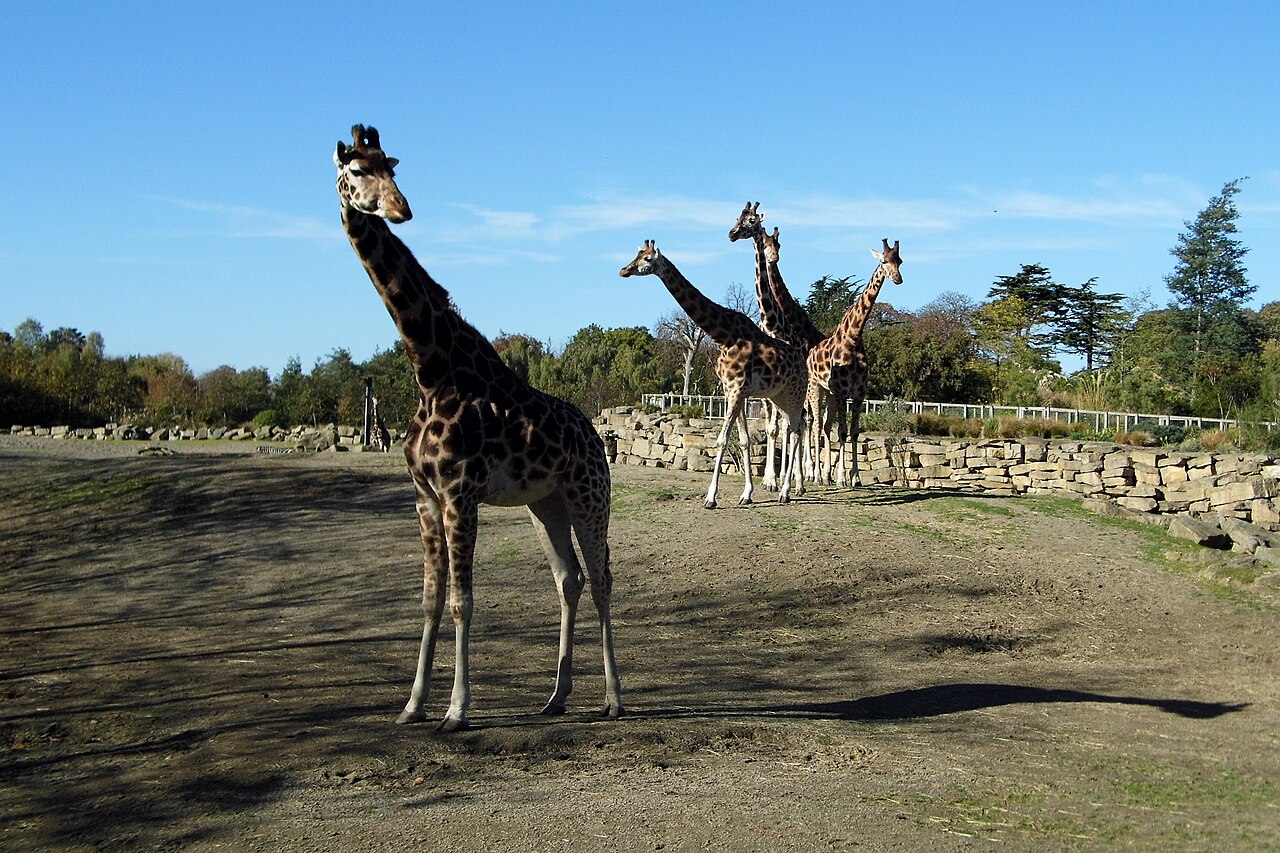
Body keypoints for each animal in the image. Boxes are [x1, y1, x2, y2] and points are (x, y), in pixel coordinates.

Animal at [334, 125, 621, 731]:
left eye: (392, 167)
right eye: (358, 170)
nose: (401, 209)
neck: (430, 368)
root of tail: (594, 434)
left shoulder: (460, 492)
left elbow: (463, 600)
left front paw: (457, 710)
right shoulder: (424, 496)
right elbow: (430, 599)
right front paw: (412, 705)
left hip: (589, 496)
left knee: (603, 578)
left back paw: (613, 699)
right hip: (545, 503)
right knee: (570, 579)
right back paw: (555, 697)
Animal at [619, 240, 807, 508]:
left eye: (647, 259)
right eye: (636, 254)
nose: (623, 270)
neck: (724, 336)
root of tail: (803, 360)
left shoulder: (738, 390)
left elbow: (722, 440)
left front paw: (710, 497)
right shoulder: (731, 391)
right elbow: (743, 441)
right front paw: (746, 494)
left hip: (794, 392)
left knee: (796, 428)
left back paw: (786, 491)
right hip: (777, 395)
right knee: (796, 426)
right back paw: (788, 488)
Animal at [805, 239, 904, 487]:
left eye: (899, 261)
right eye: (883, 261)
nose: (898, 279)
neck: (853, 337)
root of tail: (809, 353)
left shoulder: (859, 391)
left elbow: (853, 432)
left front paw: (856, 478)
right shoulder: (842, 390)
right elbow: (841, 431)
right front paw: (842, 478)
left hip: (829, 393)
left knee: (825, 427)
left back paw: (825, 476)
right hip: (815, 388)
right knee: (815, 425)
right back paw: (815, 475)